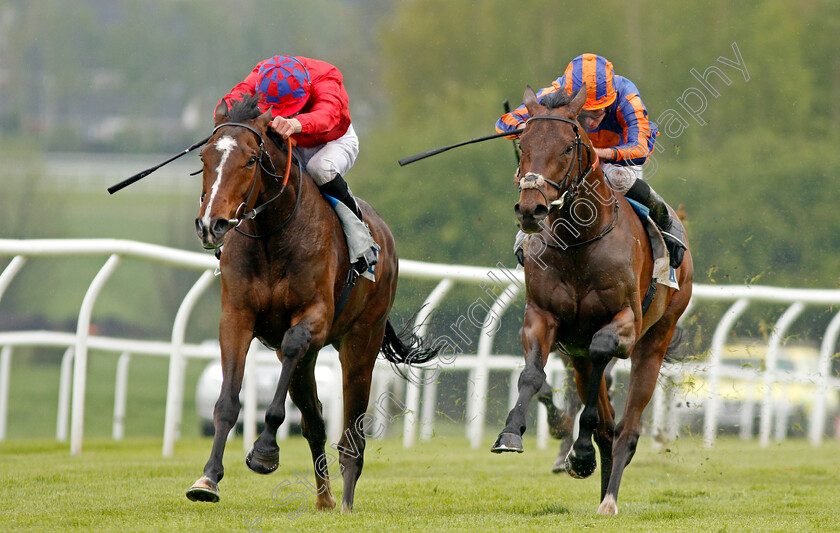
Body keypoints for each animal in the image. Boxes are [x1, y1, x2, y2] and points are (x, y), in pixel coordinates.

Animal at [187, 94, 436, 512]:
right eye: (205, 158)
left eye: (250, 159)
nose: (212, 225)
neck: (273, 234)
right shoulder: (236, 318)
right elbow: (227, 401)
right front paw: (208, 478)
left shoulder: (313, 320)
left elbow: (290, 355)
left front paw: (265, 452)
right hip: (312, 358)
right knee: (315, 422)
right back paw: (325, 499)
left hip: (361, 341)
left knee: (352, 431)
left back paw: (346, 499)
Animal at [488, 85, 692, 512]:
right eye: (524, 144)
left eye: (568, 147)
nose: (530, 209)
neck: (579, 243)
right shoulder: (542, 317)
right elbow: (532, 375)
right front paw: (510, 433)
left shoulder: (624, 324)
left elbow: (601, 355)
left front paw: (579, 453)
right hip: (578, 354)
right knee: (606, 420)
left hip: (656, 339)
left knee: (626, 427)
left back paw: (608, 496)